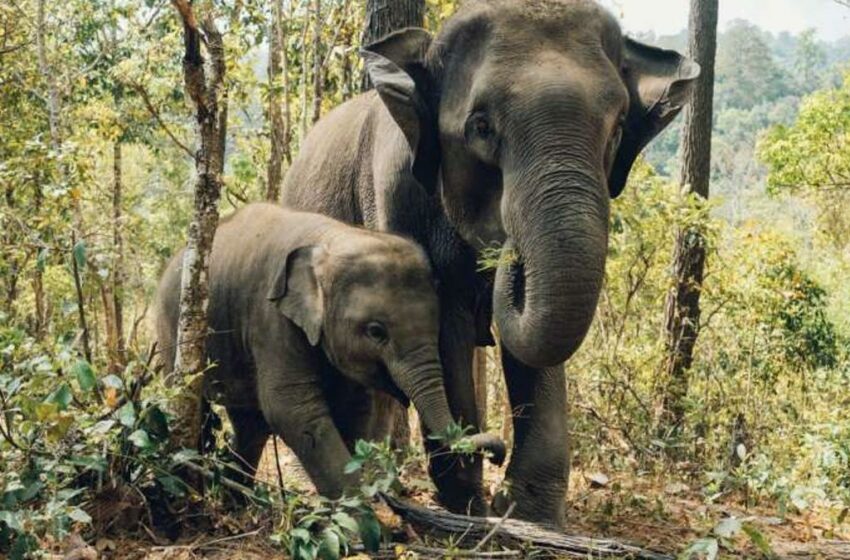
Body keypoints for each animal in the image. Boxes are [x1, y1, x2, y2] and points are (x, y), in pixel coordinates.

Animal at [157, 205, 504, 498]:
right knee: (194, 403)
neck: (331, 239)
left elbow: (355, 408)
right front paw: (365, 521)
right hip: (171, 332)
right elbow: (292, 409)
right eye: (376, 331)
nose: (498, 454)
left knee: (250, 424)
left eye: (437, 325)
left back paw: (237, 498)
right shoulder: (271, 319)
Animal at [284, 0, 696, 524]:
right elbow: (445, 325)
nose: (506, 251)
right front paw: (469, 504)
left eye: (619, 128)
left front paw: (529, 514)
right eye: (480, 126)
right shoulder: (396, 195)